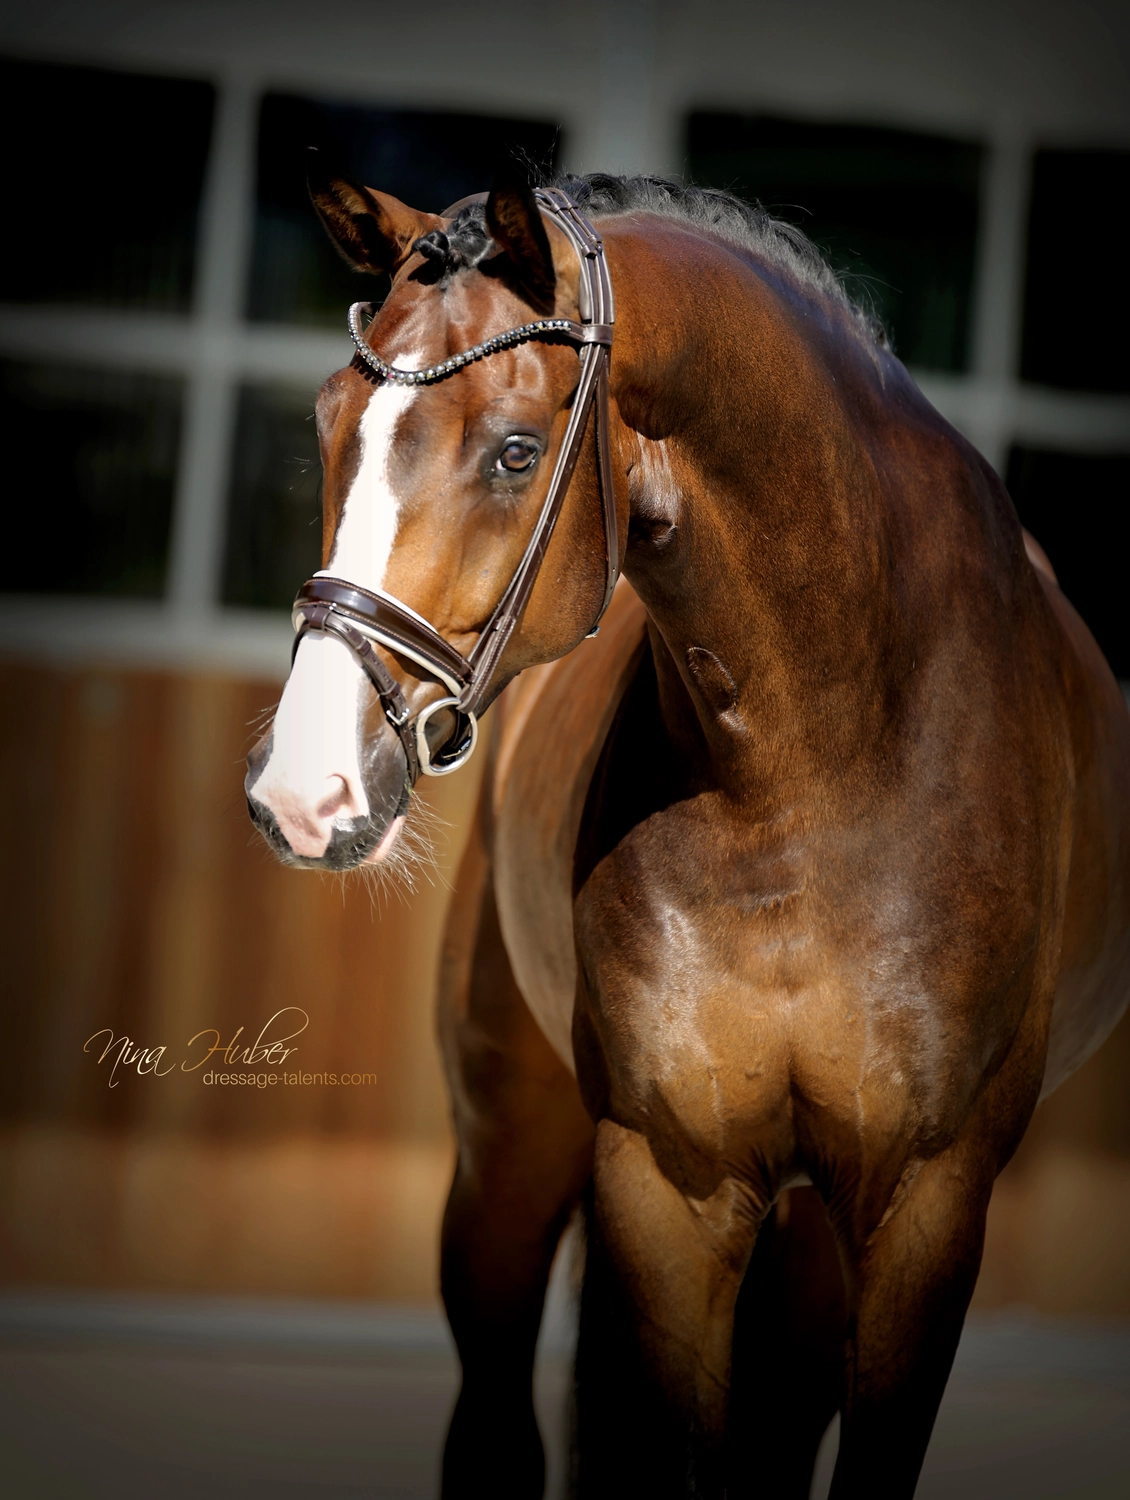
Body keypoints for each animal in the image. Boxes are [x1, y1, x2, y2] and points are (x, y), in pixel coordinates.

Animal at [244, 164, 1130, 1498]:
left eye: (515, 452)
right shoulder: (669, 1182)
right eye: (325, 421)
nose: (305, 790)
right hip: (510, 1153)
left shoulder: (926, 1201)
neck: (819, 760)